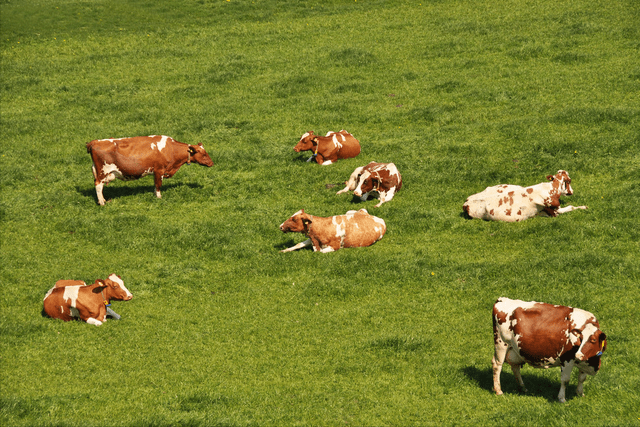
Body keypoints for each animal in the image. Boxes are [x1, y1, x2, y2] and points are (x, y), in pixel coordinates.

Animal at [85, 135, 216, 206]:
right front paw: (159, 197)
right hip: (103, 171)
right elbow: (158, 184)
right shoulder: (159, 170)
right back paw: (102, 203)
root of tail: (94, 142)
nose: (212, 163)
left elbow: (155, 184)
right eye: (203, 154)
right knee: (98, 185)